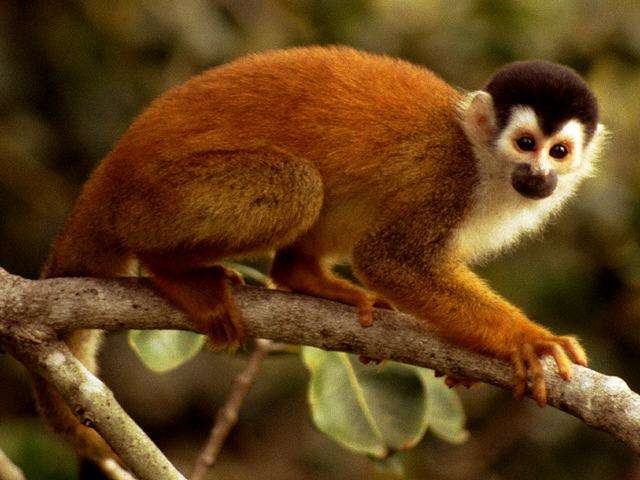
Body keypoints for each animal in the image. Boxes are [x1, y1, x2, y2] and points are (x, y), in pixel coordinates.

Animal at [37, 46, 605, 471]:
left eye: (558, 151)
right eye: (526, 143)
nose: (539, 175)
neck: (482, 159)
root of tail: (108, 174)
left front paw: (467, 364)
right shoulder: (446, 180)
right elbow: (390, 261)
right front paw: (527, 339)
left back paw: (303, 276)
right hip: (152, 203)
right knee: (298, 186)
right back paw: (172, 272)